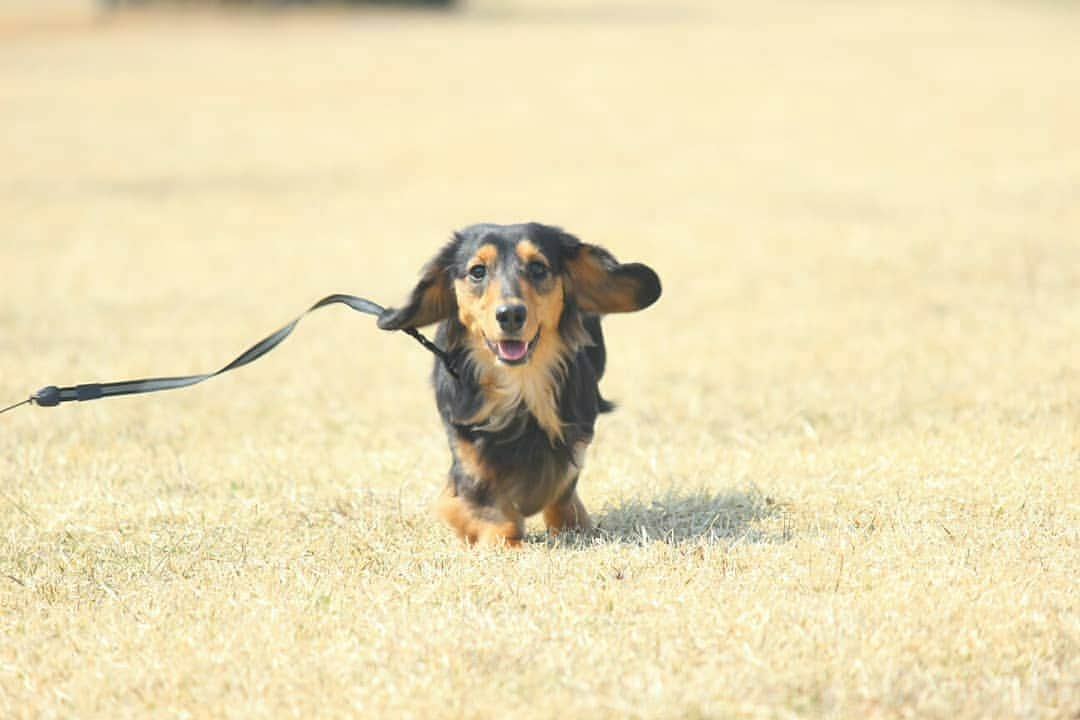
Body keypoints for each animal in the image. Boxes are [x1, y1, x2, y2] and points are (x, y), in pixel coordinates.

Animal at [380, 223, 665, 546]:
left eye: (538, 268)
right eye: (477, 271)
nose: (511, 315)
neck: (521, 387)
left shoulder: (574, 439)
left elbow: (562, 484)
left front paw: (572, 523)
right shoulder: (467, 455)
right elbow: (483, 507)